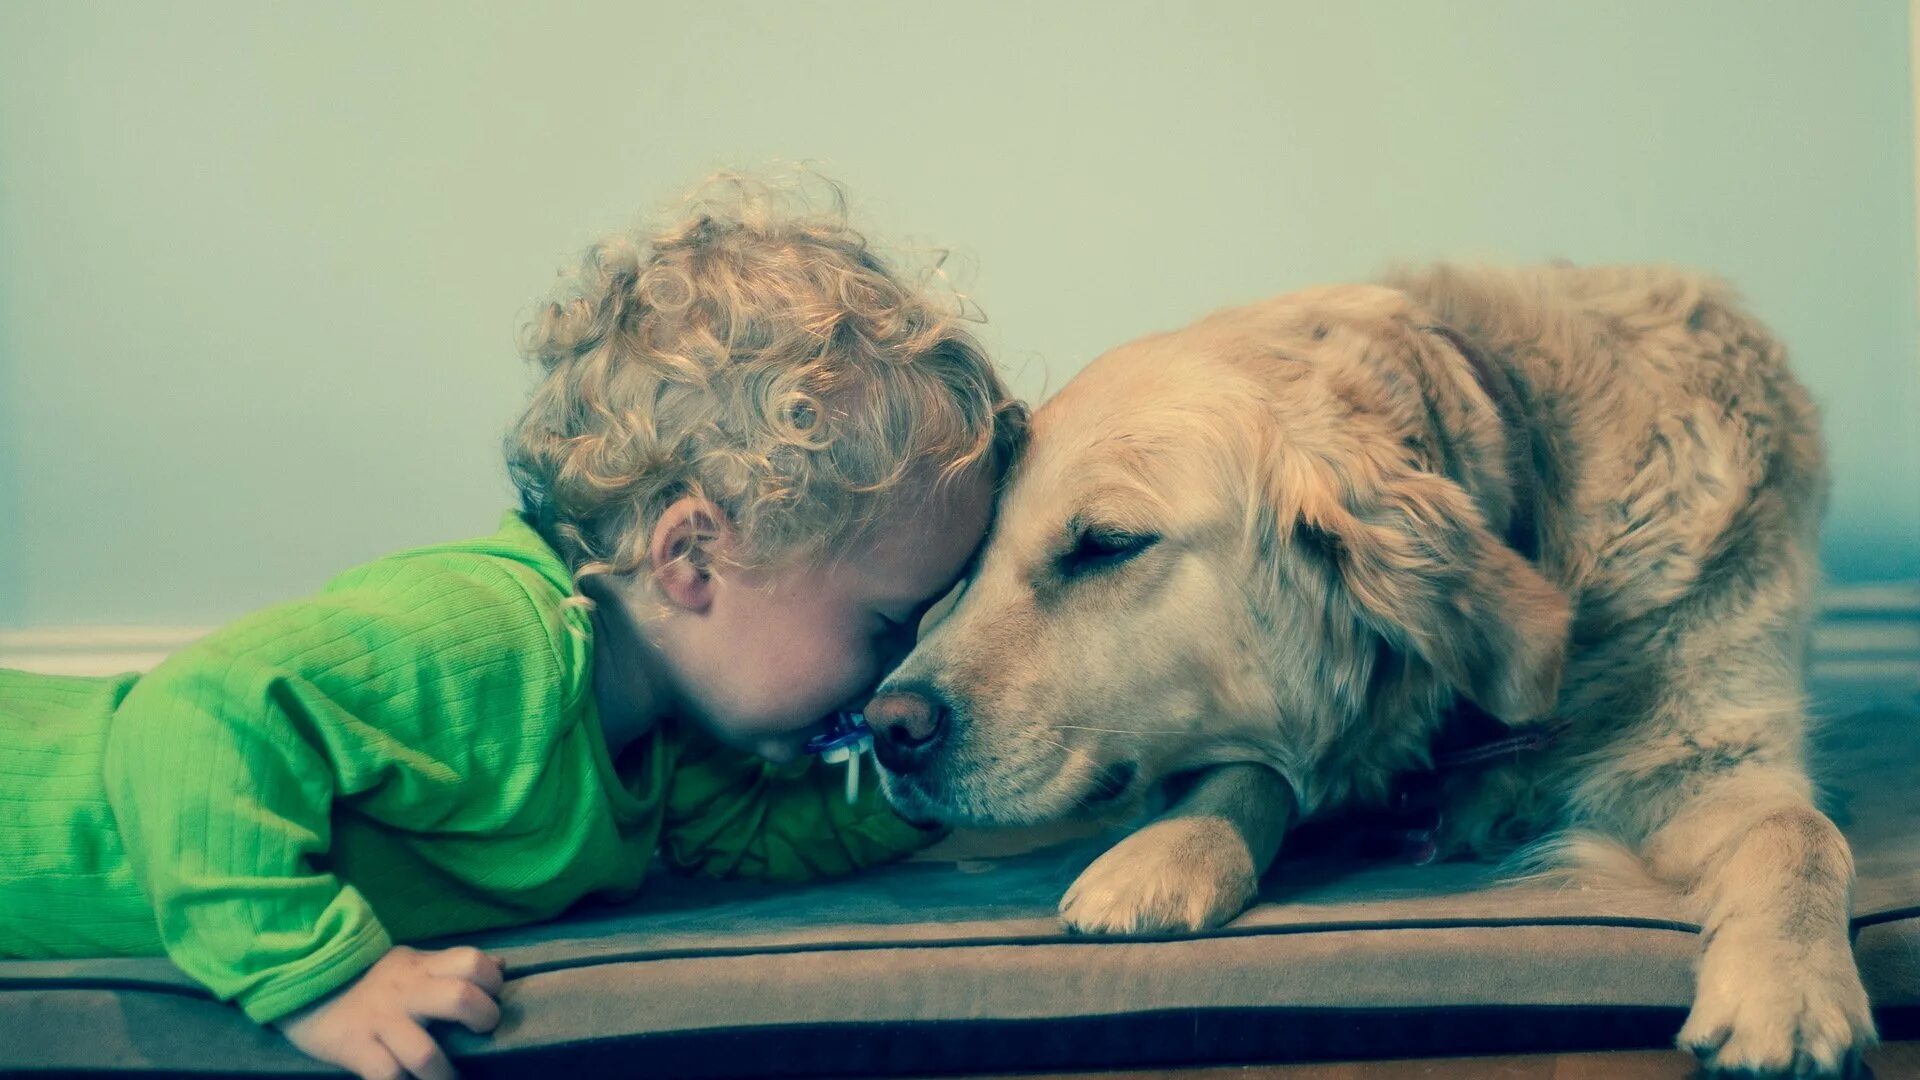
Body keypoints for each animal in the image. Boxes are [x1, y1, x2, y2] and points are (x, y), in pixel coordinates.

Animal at [867, 263, 1873, 1076]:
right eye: (968, 567)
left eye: (1106, 545)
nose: (887, 728)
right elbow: (1252, 772)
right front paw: (1175, 850)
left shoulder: (1716, 752)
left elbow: (1801, 834)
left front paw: (1790, 989)